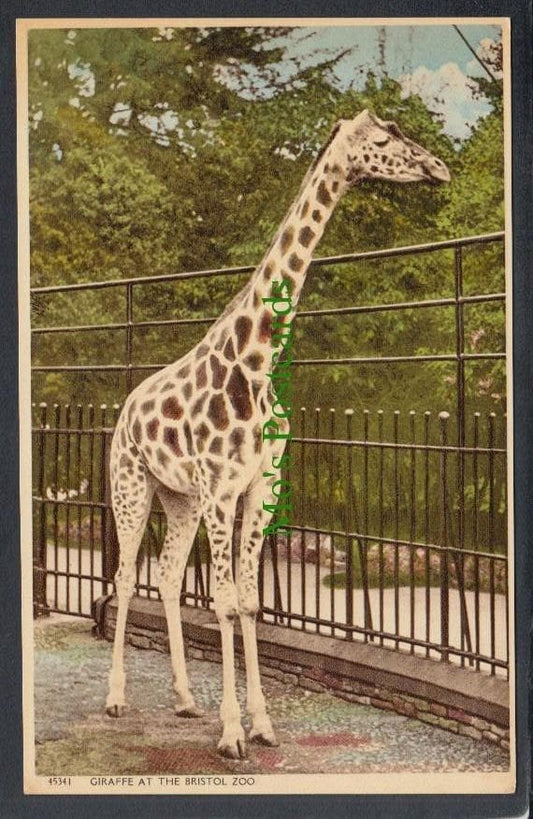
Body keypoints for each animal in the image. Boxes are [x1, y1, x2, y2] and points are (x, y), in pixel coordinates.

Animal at [105, 109, 450, 758]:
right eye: (383, 139)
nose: (438, 167)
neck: (259, 361)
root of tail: (125, 408)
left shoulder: (258, 488)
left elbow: (250, 602)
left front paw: (260, 724)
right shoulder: (221, 490)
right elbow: (223, 603)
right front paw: (231, 733)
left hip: (180, 499)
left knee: (166, 578)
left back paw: (185, 699)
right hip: (131, 488)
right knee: (125, 574)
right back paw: (114, 698)